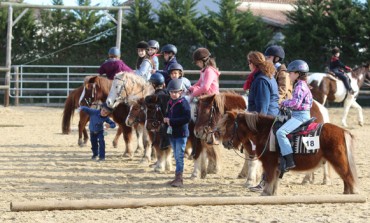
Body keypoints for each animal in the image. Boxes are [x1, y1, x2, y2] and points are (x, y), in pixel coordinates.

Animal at [194, 92, 332, 186]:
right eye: (196, 112)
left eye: (206, 112)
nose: (197, 132)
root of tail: (320, 108)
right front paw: (252, 176)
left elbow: (252, 160)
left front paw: (250, 180)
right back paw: (310, 179)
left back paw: (321, 179)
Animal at [217, 110, 358, 196]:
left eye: (229, 126)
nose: (225, 143)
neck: (265, 132)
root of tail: (343, 131)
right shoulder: (277, 166)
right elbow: (274, 180)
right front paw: (272, 193)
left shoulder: (269, 163)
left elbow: (268, 178)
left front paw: (265, 192)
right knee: (346, 177)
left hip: (338, 161)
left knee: (348, 176)